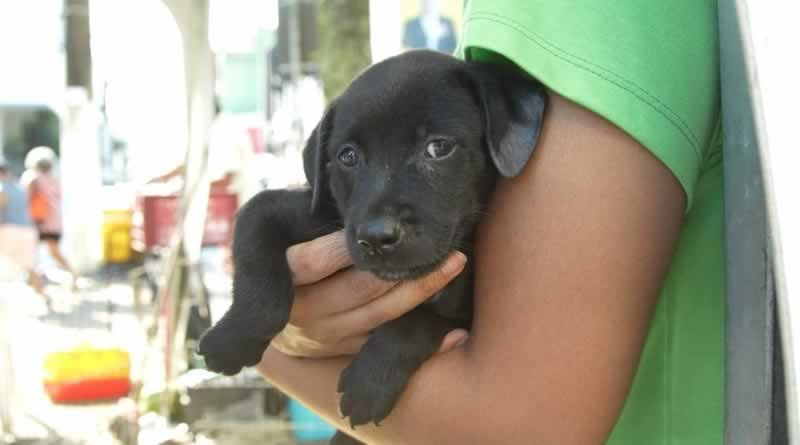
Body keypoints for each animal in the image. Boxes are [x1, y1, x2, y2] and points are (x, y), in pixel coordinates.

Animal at [197, 49, 546, 444]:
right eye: (348, 156)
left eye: (439, 148)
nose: (377, 236)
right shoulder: (298, 211)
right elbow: (258, 263)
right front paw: (231, 340)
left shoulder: (463, 309)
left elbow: (418, 320)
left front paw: (370, 382)